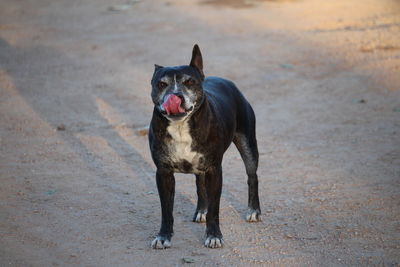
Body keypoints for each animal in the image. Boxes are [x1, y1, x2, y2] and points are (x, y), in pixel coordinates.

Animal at [148, 44, 260, 249]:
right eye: (161, 84)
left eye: (190, 82)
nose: (175, 96)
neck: (180, 125)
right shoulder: (163, 173)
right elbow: (166, 210)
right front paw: (163, 236)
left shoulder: (214, 171)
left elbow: (215, 209)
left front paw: (214, 236)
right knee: (200, 185)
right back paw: (201, 211)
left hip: (248, 145)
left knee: (252, 176)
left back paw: (254, 211)